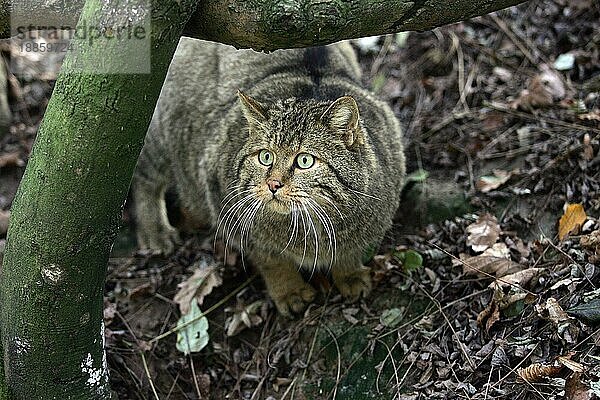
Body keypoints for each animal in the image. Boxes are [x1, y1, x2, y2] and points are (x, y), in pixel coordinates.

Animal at [134, 39, 406, 318]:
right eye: (266, 157)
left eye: (304, 161)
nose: (273, 184)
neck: (310, 225)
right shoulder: (224, 203)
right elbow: (272, 260)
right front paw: (289, 290)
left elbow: (348, 252)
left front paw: (349, 273)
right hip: (159, 135)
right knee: (143, 175)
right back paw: (155, 230)